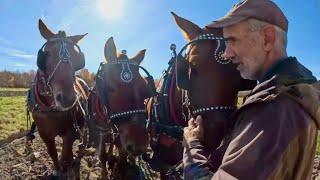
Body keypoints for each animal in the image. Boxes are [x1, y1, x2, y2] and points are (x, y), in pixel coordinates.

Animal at [26, 19, 89, 179]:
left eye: (78, 59)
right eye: (45, 54)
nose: (67, 98)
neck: (50, 108)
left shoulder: (70, 132)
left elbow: (66, 154)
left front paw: (68, 169)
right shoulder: (45, 134)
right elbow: (53, 153)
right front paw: (58, 170)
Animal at [87, 37, 157, 179]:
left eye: (146, 89)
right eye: (109, 88)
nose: (138, 145)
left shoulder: (120, 132)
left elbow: (122, 152)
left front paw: (121, 168)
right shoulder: (99, 131)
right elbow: (101, 155)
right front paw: (104, 174)